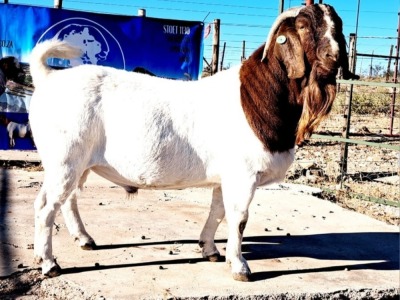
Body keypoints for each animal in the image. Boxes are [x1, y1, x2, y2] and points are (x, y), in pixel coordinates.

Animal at [29, 4, 358, 282]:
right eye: (302, 26)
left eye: (339, 25)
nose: (334, 58)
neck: (254, 97)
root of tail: (47, 78)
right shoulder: (243, 175)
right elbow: (239, 219)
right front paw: (240, 268)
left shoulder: (225, 177)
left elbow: (218, 212)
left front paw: (210, 250)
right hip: (64, 160)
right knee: (46, 206)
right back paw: (49, 264)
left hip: (79, 163)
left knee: (69, 200)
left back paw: (84, 240)